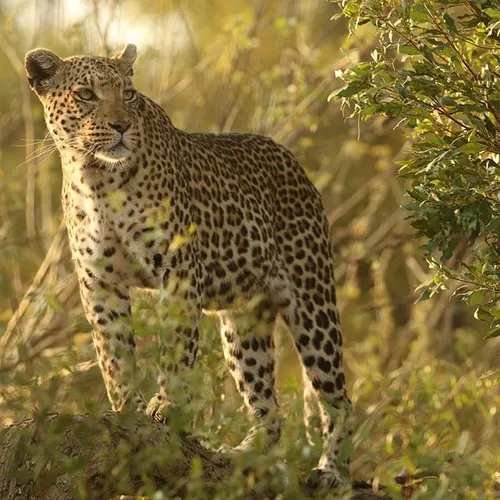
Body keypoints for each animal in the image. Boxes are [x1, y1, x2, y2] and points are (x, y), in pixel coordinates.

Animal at [24, 43, 352, 488]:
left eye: (128, 94)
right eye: (86, 95)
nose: (121, 125)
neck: (97, 180)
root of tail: (295, 164)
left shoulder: (177, 269)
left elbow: (175, 347)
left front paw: (164, 406)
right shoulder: (99, 283)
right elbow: (113, 353)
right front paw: (127, 408)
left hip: (312, 301)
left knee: (338, 398)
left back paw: (332, 472)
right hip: (243, 323)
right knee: (268, 409)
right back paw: (243, 456)